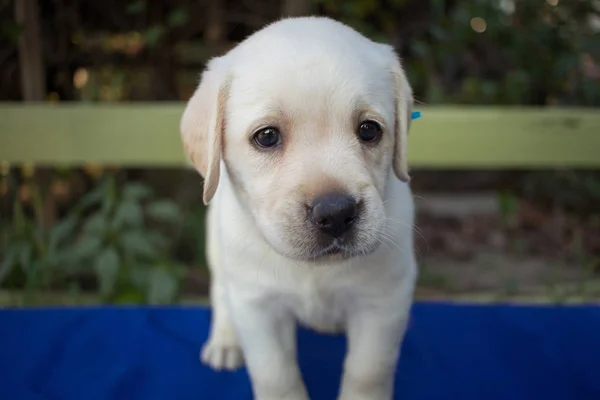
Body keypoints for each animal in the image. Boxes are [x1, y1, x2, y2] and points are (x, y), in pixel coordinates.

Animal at [180, 15, 420, 400]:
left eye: (369, 130)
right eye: (266, 136)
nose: (335, 213)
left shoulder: (383, 301)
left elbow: (368, 371)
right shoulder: (258, 307)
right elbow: (276, 376)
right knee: (220, 292)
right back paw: (225, 341)